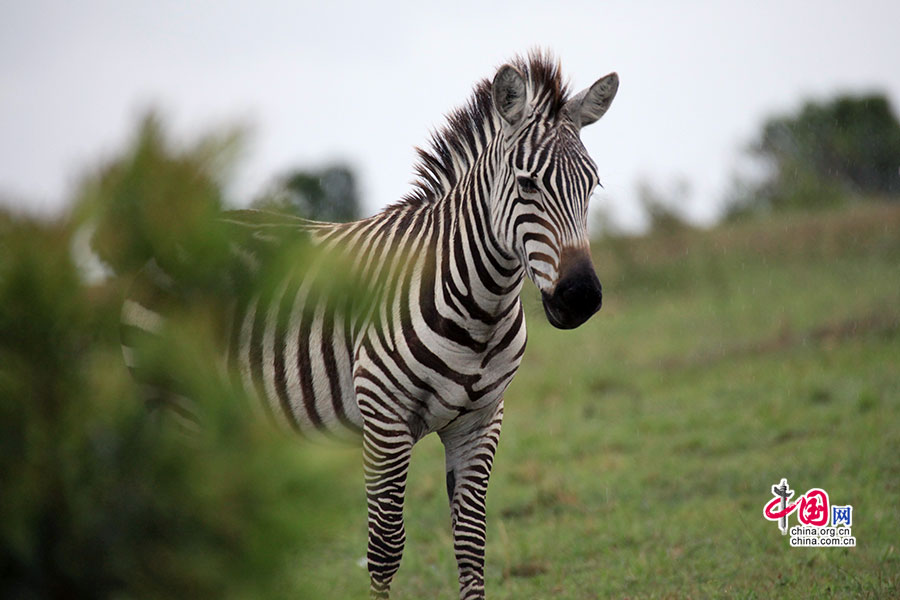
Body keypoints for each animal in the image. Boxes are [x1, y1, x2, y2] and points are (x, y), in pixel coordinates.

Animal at [121, 52, 620, 600]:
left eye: (593, 183)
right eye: (527, 183)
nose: (581, 298)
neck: (481, 312)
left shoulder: (482, 419)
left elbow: (471, 544)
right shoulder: (385, 421)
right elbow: (385, 550)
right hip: (175, 404)